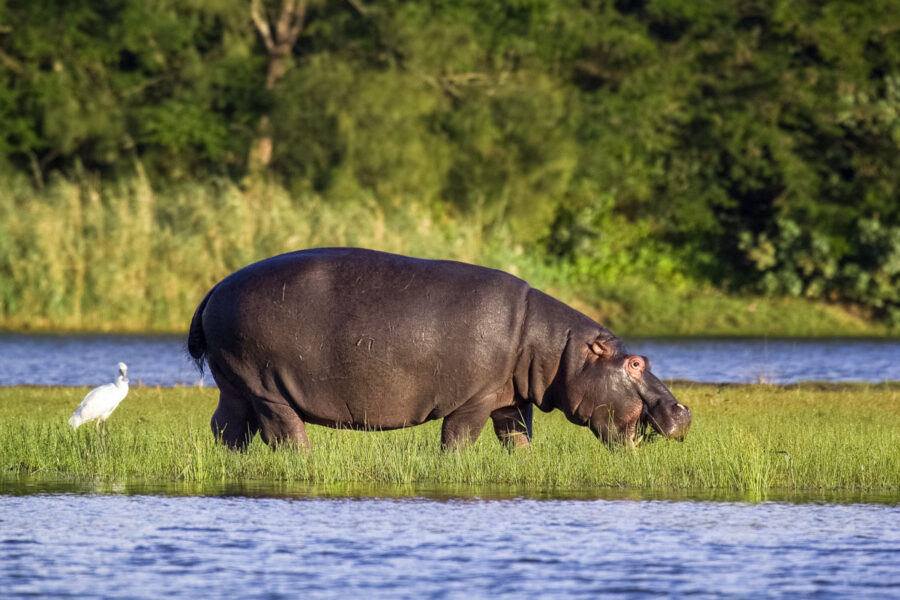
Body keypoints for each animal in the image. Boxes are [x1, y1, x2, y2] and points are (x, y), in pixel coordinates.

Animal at [187, 247, 690, 450]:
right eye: (636, 363)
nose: (683, 410)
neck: (557, 349)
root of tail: (213, 289)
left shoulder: (510, 400)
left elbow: (518, 439)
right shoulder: (474, 399)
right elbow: (459, 440)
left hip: (233, 383)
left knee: (227, 429)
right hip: (265, 387)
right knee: (285, 433)